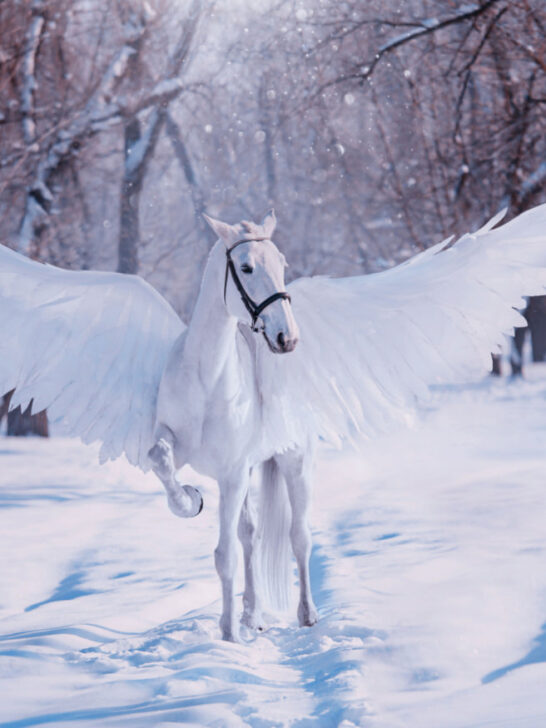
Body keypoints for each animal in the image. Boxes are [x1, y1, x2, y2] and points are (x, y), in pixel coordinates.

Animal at [1, 202, 544, 640]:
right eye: (244, 266)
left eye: (281, 264)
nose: (286, 338)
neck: (207, 380)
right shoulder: (191, 453)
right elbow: (164, 463)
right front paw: (190, 502)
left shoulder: (232, 472)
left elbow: (223, 554)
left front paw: (226, 636)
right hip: (249, 476)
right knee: (251, 535)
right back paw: (252, 615)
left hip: (295, 463)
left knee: (298, 538)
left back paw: (304, 615)